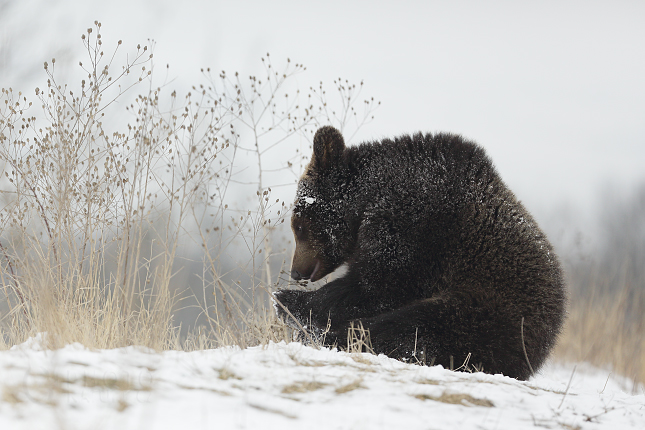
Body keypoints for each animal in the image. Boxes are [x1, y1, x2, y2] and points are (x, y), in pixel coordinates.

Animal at [272, 125, 564, 380]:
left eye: (299, 225)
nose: (296, 271)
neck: (367, 200)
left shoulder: (414, 225)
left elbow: (378, 286)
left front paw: (288, 301)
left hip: (490, 310)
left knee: (414, 328)